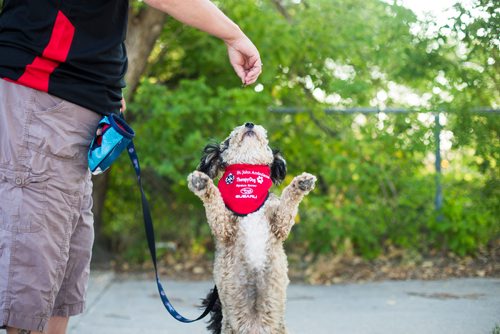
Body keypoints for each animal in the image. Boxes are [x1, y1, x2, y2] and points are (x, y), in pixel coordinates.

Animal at [188, 122, 316, 334]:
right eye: (229, 139)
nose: (249, 123)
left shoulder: (280, 224)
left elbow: (288, 199)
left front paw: (301, 182)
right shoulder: (223, 226)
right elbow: (213, 199)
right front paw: (201, 183)